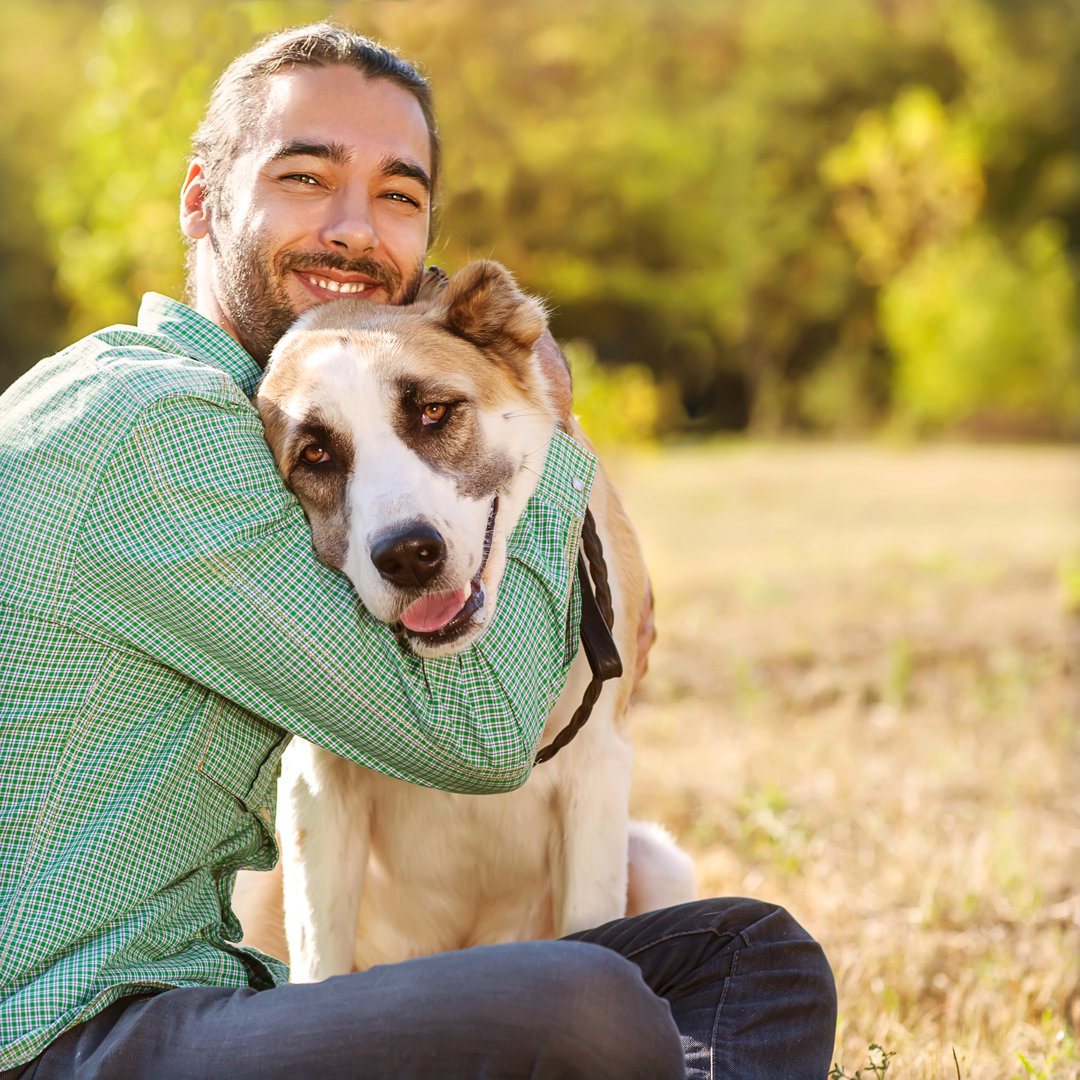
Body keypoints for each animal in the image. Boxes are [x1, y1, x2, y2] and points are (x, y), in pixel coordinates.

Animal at [232, 259, 695, 980]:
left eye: (433, 410)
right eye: (314, 455)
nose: (407, 555)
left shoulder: (597, 769)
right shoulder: (317, 788)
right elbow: (318, 960)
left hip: (658, 858)